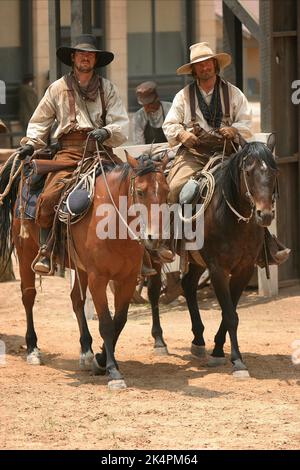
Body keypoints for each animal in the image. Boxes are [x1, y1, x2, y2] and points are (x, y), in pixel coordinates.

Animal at [0, 151, 169, 390]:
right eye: (140, 191)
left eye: (166, 191)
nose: (156, 237)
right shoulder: (98, 279)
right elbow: (106, 324)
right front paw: (113, 372)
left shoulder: (127, 279)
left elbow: (119, 321)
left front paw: (100, 360)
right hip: (25, 254)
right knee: (28, 297)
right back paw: (33, 349)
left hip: (79, 268)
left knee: (76, 301)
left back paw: (86, 351)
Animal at [146, 135, 278, 378]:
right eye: (248, 171)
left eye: (274, 172)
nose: (264, 215)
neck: (232, 218)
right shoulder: (218, 269)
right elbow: (230, 315)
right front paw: (237, 362)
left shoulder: (244, 270)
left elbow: (229, 313)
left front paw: (217, 351)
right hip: (154, 254)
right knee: (153, 291)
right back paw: (159, 341)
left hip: (197, 260)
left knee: (188, 285)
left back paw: (198, 341)